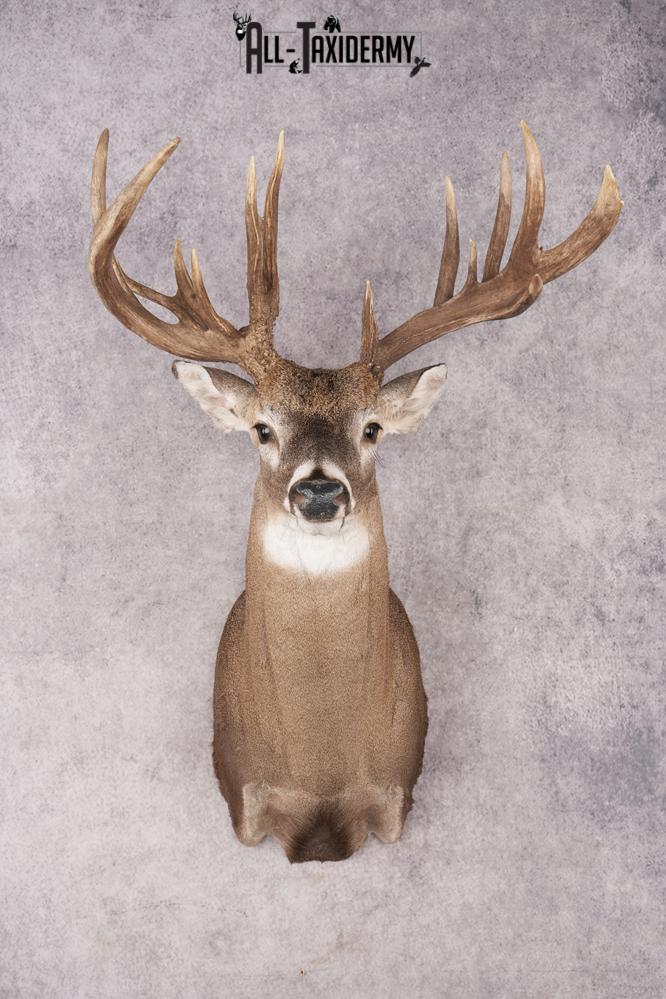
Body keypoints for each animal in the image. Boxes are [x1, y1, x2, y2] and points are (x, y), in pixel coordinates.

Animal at [89, 123, 622, 862]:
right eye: (261, 428)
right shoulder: (244, 797)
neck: (320, 762)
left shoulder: (395, 796)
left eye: (372, 427)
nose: (319, 489)